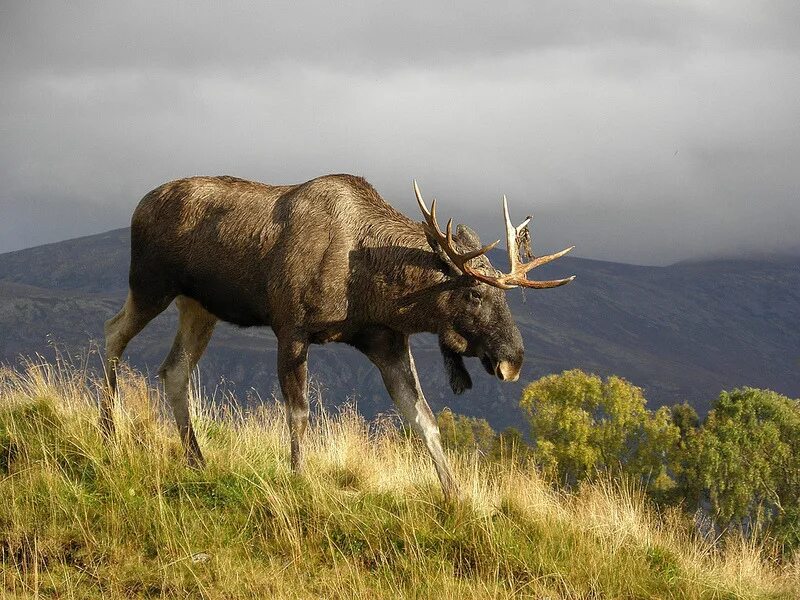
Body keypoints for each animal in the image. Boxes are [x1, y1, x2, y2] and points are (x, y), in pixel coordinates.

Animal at [103, 173, 572, 496]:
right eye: (475, 293)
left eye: (506, 298)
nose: (514, 360)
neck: (370, 284)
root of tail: (138, 206)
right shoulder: (291, 328)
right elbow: (299, 413)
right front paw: (298, 477)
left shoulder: (387, 342)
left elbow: (424, 419)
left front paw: (455, 495)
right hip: (149, 284)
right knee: (113, 334)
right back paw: (109, 431)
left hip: (199, 308)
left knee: (173, 371)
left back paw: (196, 459)